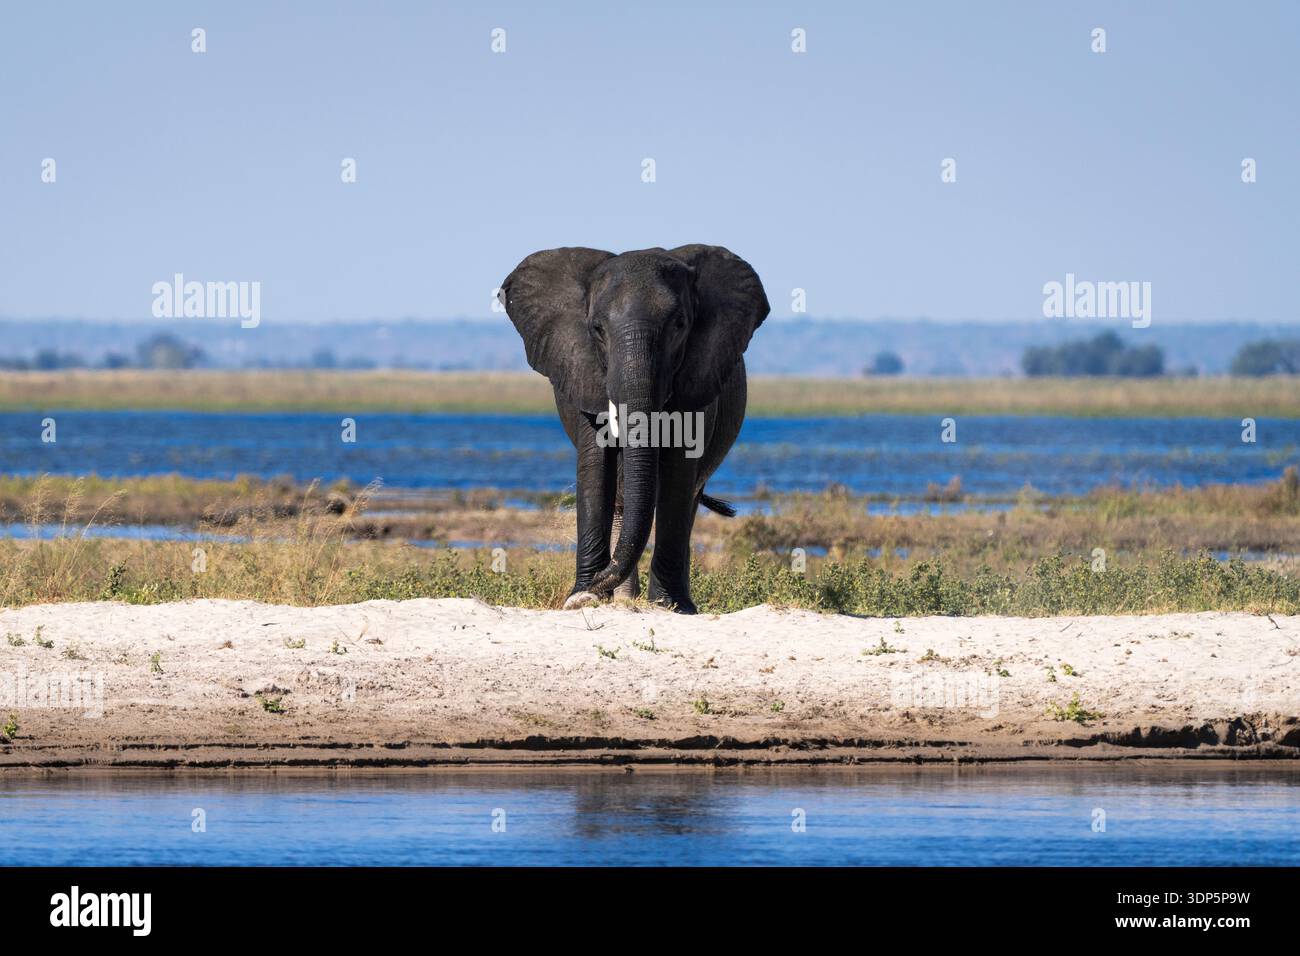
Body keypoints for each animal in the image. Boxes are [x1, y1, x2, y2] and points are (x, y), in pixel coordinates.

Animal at [500, 244, 769, 613]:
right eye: (597, 329)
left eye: (680, 326)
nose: (594, 588)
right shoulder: (584, 373)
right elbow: (595, 467)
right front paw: (581, 597)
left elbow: (678, 474)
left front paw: (670, 605)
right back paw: (625, 598)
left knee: (688, 499)